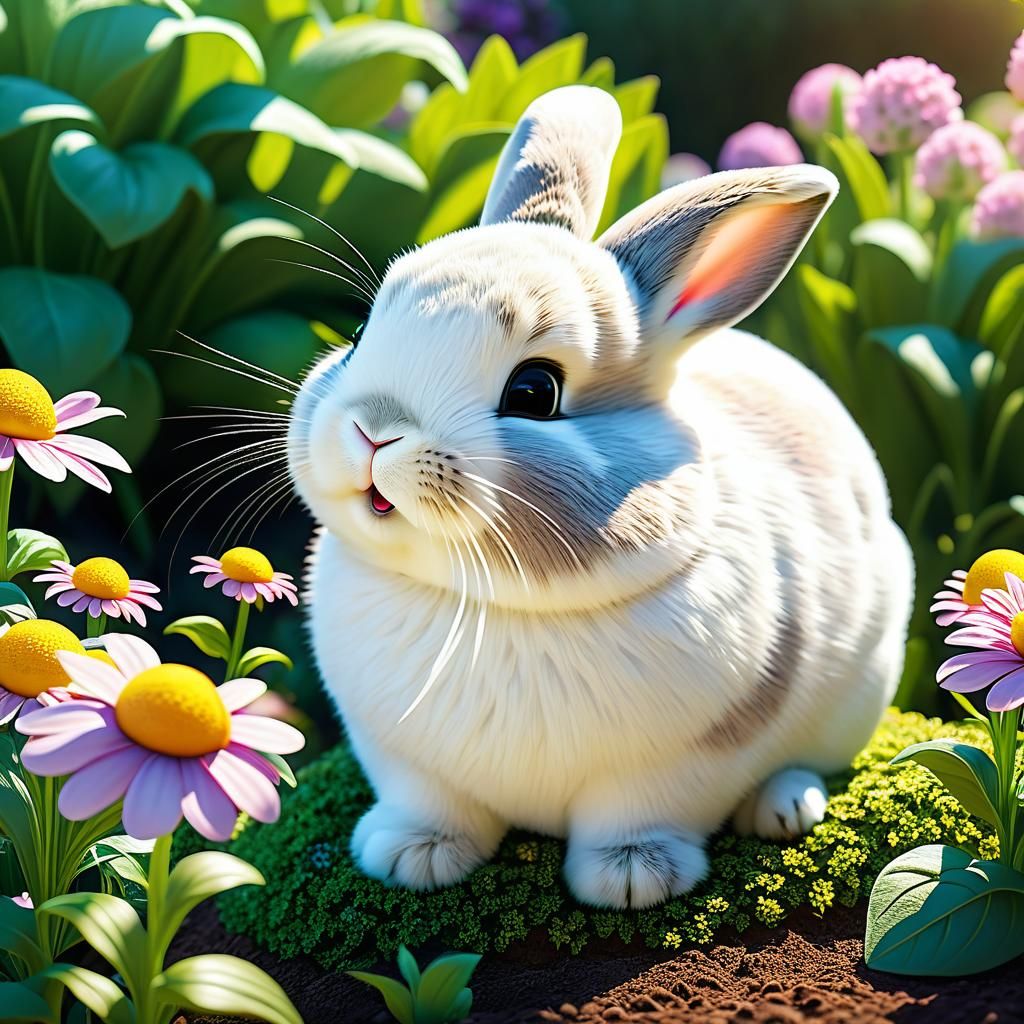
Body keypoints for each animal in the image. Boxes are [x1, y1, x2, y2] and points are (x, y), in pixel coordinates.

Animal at [288, 85, 914, 910]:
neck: (490, 601)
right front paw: (409, 857)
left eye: (534, 391)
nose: (373, 430)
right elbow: (429, 805)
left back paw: (783, 807)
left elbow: (639, 814)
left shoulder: (683, 761)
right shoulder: (400, 755)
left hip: (858, 692)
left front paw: (631, 879)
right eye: (361, 334)